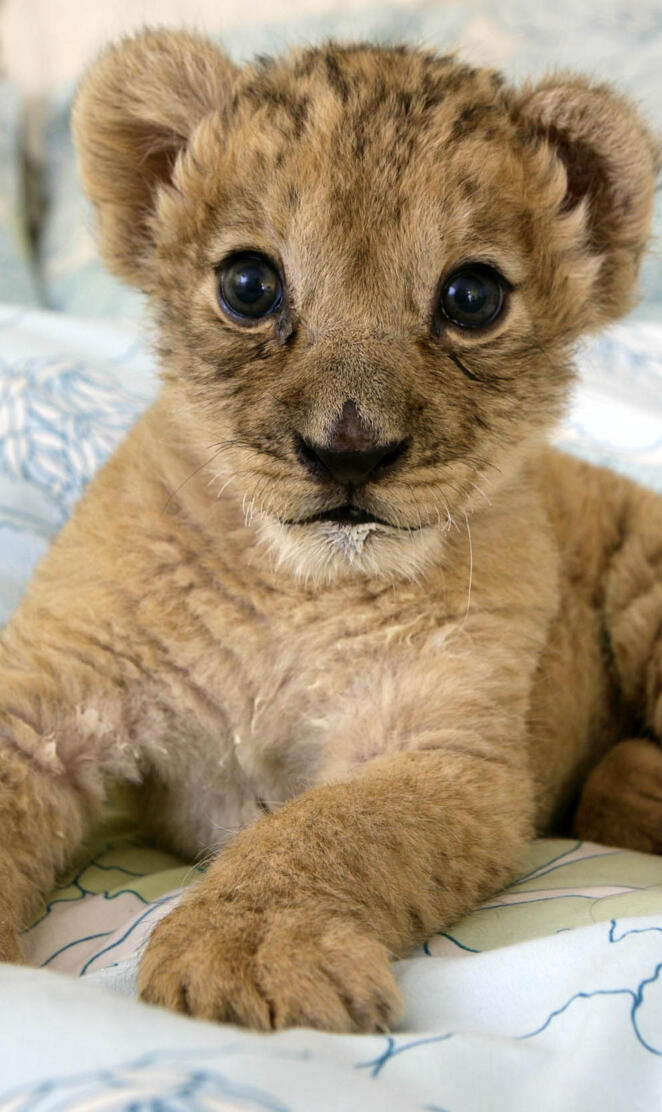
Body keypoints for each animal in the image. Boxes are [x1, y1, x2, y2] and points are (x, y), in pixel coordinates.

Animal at [0, 29, 660, 1033]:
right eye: (249, 284)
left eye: (472, 297)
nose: (350, 452)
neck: (296, 586)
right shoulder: (46, 700)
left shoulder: (447, 753)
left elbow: (329, 829)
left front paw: (248, 956)